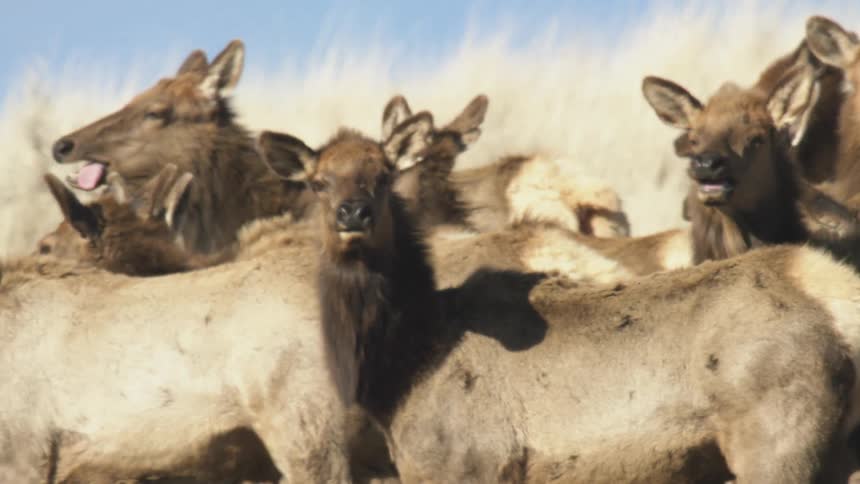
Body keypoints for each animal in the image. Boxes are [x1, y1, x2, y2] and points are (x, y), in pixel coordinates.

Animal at [261, 111, 860, 483]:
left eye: (384, 175)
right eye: (317, 182)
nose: (353, 213)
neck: (401, 366)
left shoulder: (466, 463)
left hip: (777, 439)